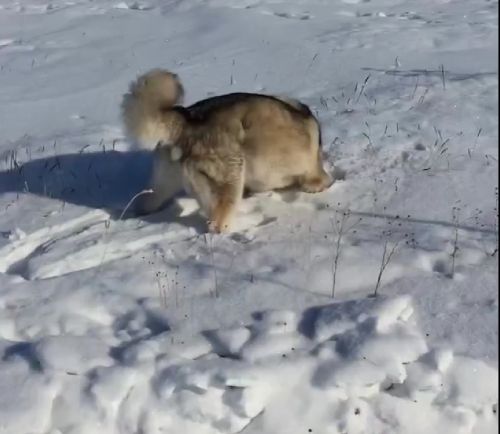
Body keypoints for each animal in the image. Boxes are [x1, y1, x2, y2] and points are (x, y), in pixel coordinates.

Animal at [121, 69, 332, 232]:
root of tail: (188, 118)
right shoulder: (316, 175)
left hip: (161, 183)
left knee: (146, 201)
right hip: (230, 177)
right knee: (217, 223)